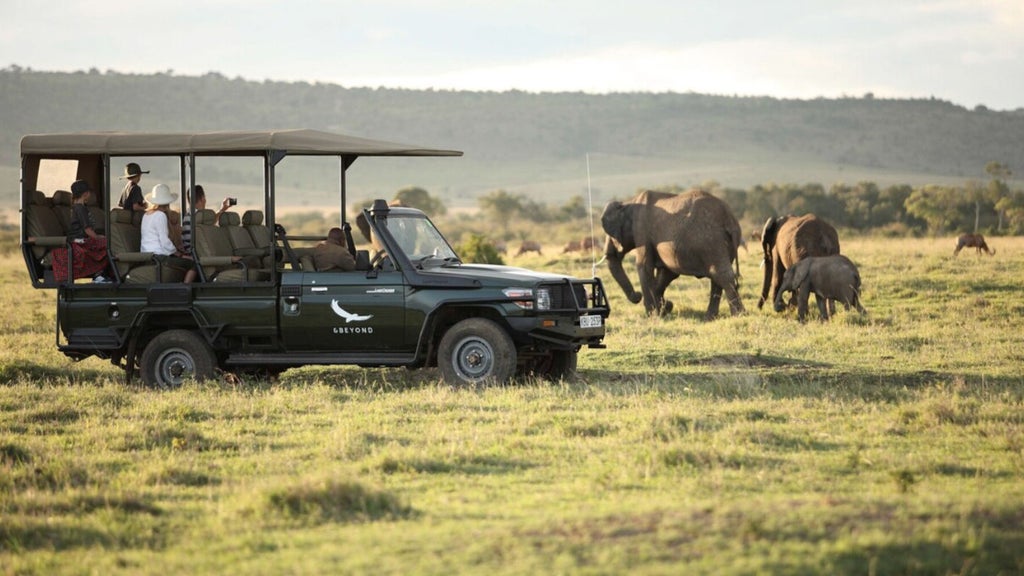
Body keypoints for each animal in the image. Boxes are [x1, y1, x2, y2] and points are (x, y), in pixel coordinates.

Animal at [598, 190, 745, 319]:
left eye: (611, 234)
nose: (637, 295)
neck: (628, 203)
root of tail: (729, 218)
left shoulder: (641, 231)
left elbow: (644, 267)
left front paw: (653, 315)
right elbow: (667, 273)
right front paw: (664, 309)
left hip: (711, 241)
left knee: (721, 275)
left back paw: (737, 315)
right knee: (717, 277)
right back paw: (711, 317)